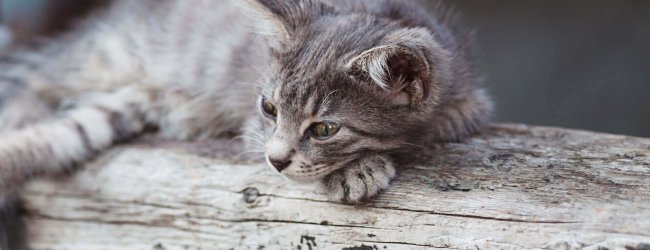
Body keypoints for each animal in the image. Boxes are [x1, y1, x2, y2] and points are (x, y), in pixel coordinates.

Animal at [0, 0, 486, 210]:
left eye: (325, 129)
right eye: (269, 109)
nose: (275, 161)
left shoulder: (470, 103)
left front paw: (361, 165)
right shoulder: (252, 129)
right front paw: (358, 170)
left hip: (119, 105)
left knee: (58, 133)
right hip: (105, 58)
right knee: (30, 88)